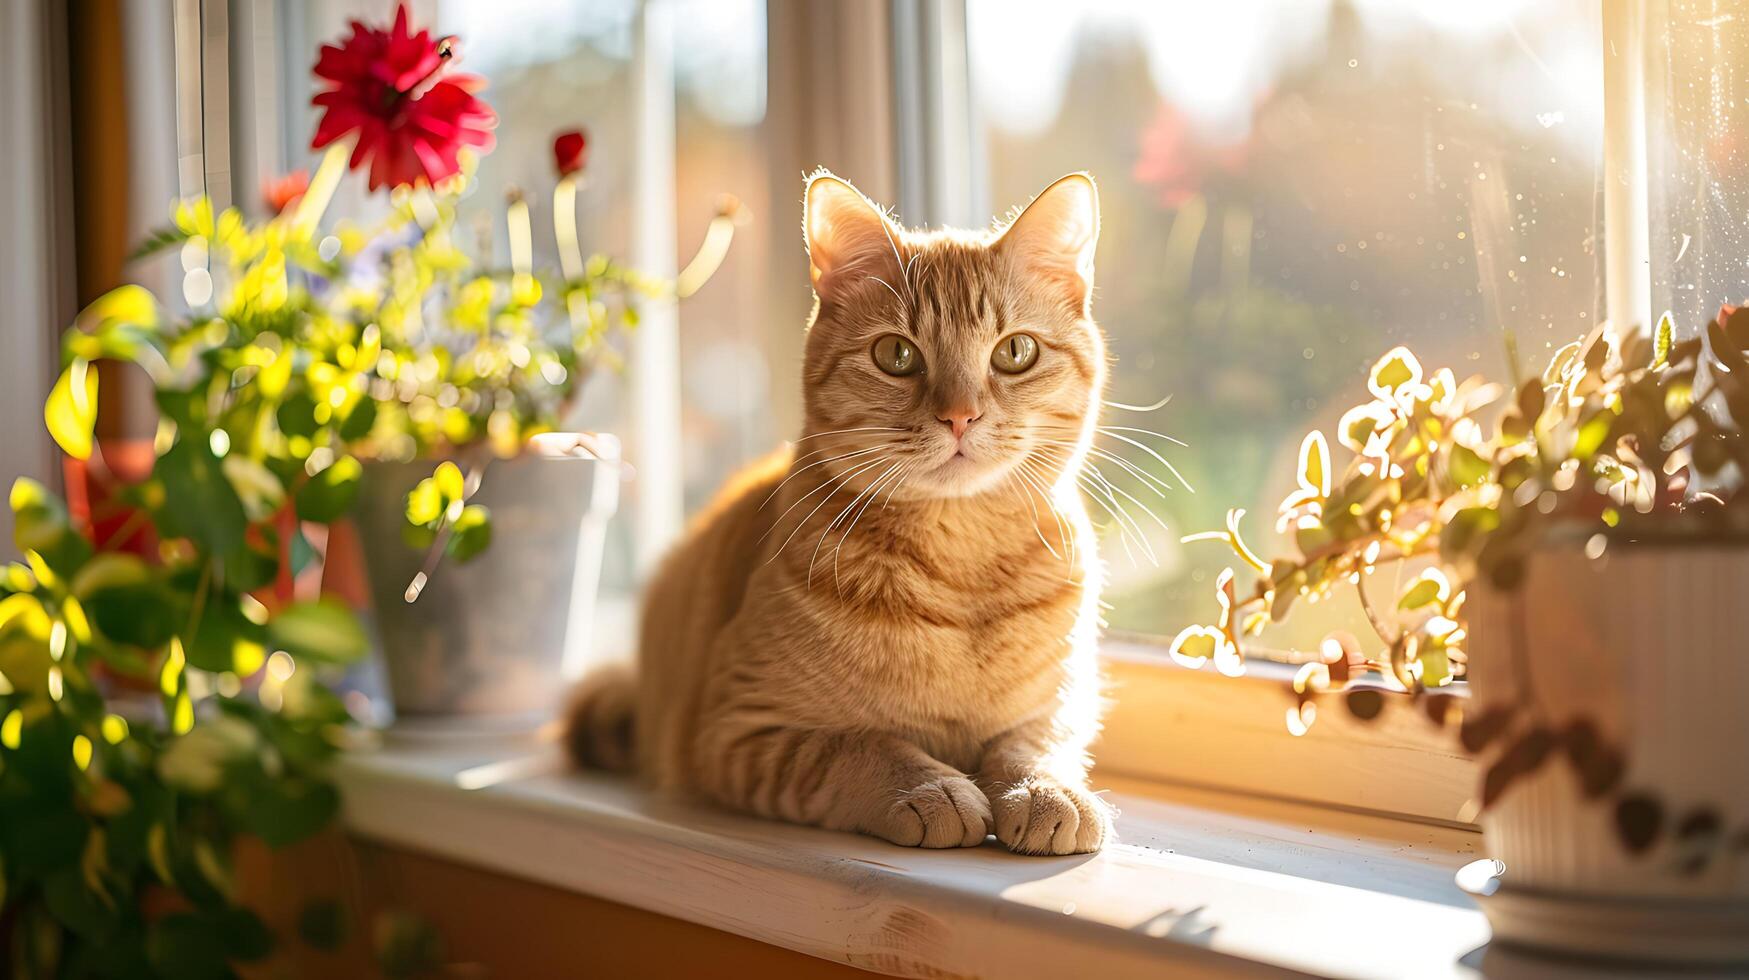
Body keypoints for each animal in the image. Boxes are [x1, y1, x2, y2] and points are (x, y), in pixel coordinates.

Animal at [566, 172, 1112, 854]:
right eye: (897, 356)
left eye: (1015, 352)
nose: (960, 416)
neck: (960, 567)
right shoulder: (736, 730)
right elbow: (861, 746)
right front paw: (933, 788)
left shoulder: (1058, 707)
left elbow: (1034, 746)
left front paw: (1044, 790)